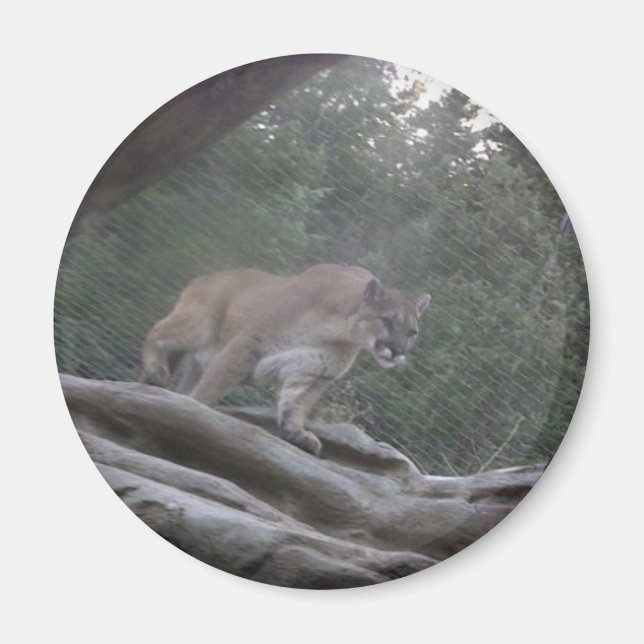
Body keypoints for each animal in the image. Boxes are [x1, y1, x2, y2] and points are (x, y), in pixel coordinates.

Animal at [141, 263, 431, 455]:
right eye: (387, 321)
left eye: (412, 332)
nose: (398, 351)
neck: (338, 330)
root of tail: (205, 277)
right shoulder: (249, 343)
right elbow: (216, 383)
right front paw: (195, 410)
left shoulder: (316, 371)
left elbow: (298, 403)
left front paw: (296, 432)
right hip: (200, 324)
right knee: (157, 331)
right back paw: (156, 372)